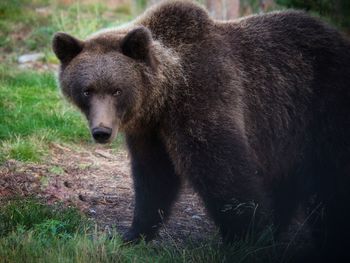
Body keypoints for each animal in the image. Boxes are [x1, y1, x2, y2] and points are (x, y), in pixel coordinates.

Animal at [52, 0, 350, 262]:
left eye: (116, 90)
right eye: (87, 90)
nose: (101, 131)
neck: (165, 95)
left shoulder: (203, 97)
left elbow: (224, 172)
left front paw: (247, 240)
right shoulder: (150, 131)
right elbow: (153, 179)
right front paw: (131, 234)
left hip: (321, 108)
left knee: (327, 186)